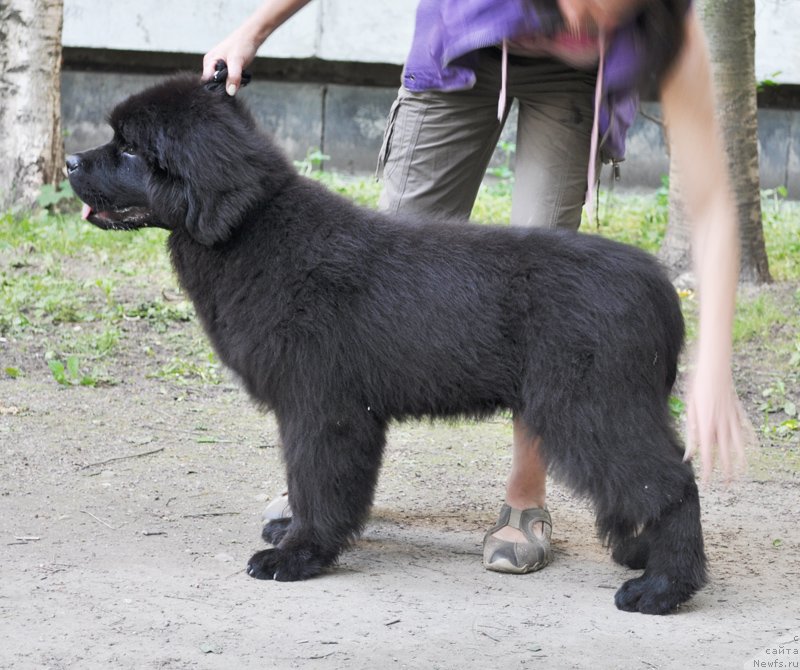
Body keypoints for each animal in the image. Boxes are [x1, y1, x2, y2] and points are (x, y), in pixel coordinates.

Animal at [69, 67, 708, 616]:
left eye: (130, 149)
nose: (71, 160)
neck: (252, 231)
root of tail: (659, 287)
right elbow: (314, 482)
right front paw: (295, 533)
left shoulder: (322, 406)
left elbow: (317, 480)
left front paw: (296, 555)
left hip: (591, 407)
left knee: (672, 484)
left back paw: (662, 588)